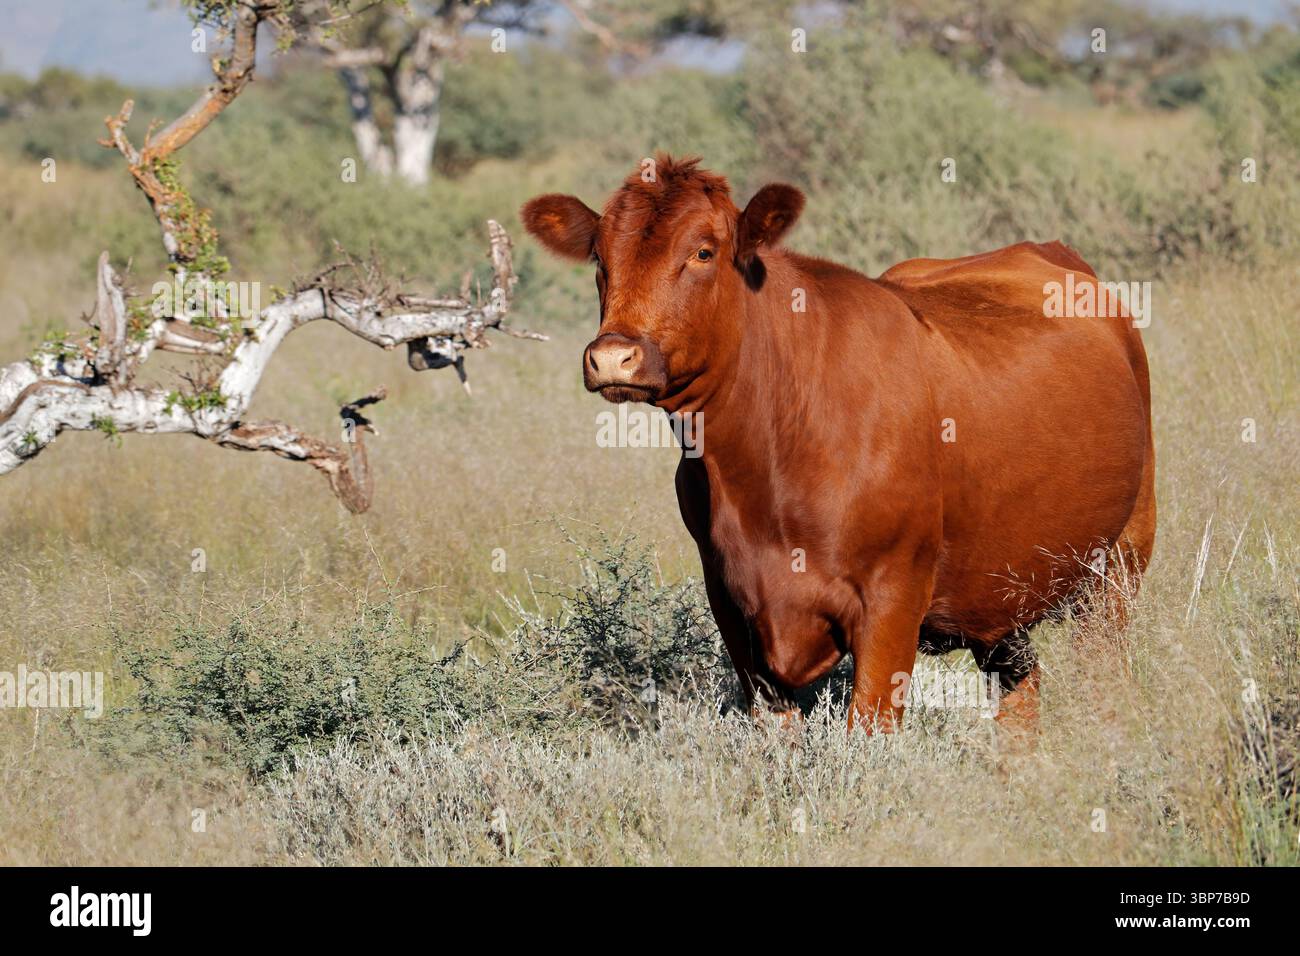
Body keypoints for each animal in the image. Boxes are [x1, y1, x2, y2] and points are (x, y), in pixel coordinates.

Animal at [522, 155, 1155, 734]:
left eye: (703, 252)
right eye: (600, 258)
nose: (613, 356)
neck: (760, 471)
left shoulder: (893, 600)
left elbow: (867, 732)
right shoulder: (734, 608)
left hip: (1121, 560)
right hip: (1004, 590)